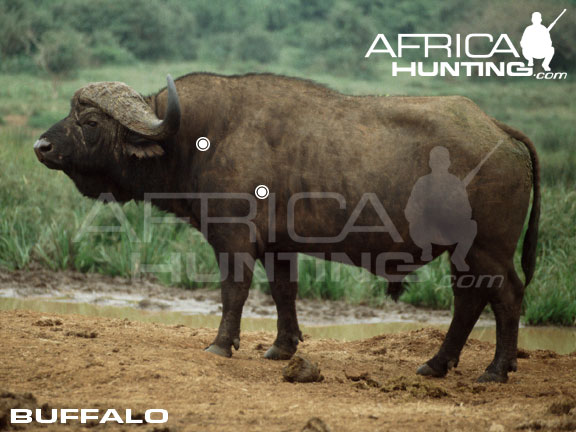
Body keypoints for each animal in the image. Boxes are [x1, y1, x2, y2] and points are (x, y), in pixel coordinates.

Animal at [35, 72, 540, 384]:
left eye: (90, 121)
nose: (41, 146)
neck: (195, 138)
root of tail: (499, 131)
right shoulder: (280, 246)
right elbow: (283, 292)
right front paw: (282, 348)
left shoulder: (233, 238)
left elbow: (234, 292)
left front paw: (221, 345)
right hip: (464, 253)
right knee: (470, 300)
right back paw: (437, 364)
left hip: (488, 250)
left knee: (505, 295)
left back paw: (496, 370)